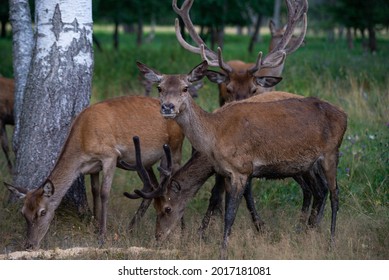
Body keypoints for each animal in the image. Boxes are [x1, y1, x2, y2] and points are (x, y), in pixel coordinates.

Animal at [4, 94, 183, 249]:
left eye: (42, 212)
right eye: (23, 213)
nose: (29, 244)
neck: (83, 140)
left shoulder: (110, 155)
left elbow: (104, 193)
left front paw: (102, 236)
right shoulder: (93, 167)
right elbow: (95, 191)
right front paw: (95, 226)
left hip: (174, 148)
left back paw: (179, 230)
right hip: (144, 162)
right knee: (153, 186)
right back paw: (131, 228)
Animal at [133, 60, 346, 258]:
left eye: (167, 208)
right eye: (160, 88)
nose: (167, 107)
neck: (215, 134)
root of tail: (344, 115)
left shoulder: (241, 169)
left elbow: (230, 214)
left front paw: (222, 251)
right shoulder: (226, 172)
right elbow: (221, 203)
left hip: (331, 153)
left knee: (335, 194)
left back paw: (331, 242)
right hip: (308, 164)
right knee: (320, 190)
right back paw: (309, 233)